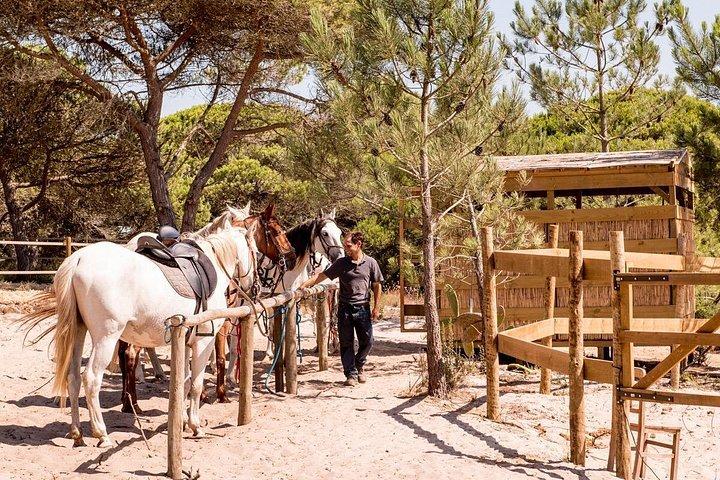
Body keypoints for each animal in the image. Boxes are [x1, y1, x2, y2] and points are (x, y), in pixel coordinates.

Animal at [20, 226, 259, 447]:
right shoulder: (203, 342)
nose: (255, 287)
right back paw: (101, 433)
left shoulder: (185, 342)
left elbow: (184, 383)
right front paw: (195, 426)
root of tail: (78, 259)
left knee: (73, 378)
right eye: (256, 251)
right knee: (91, 379)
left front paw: (181, 421)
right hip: (106, 338)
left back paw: (77, 434)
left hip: (79, 332)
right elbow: (196, 384)